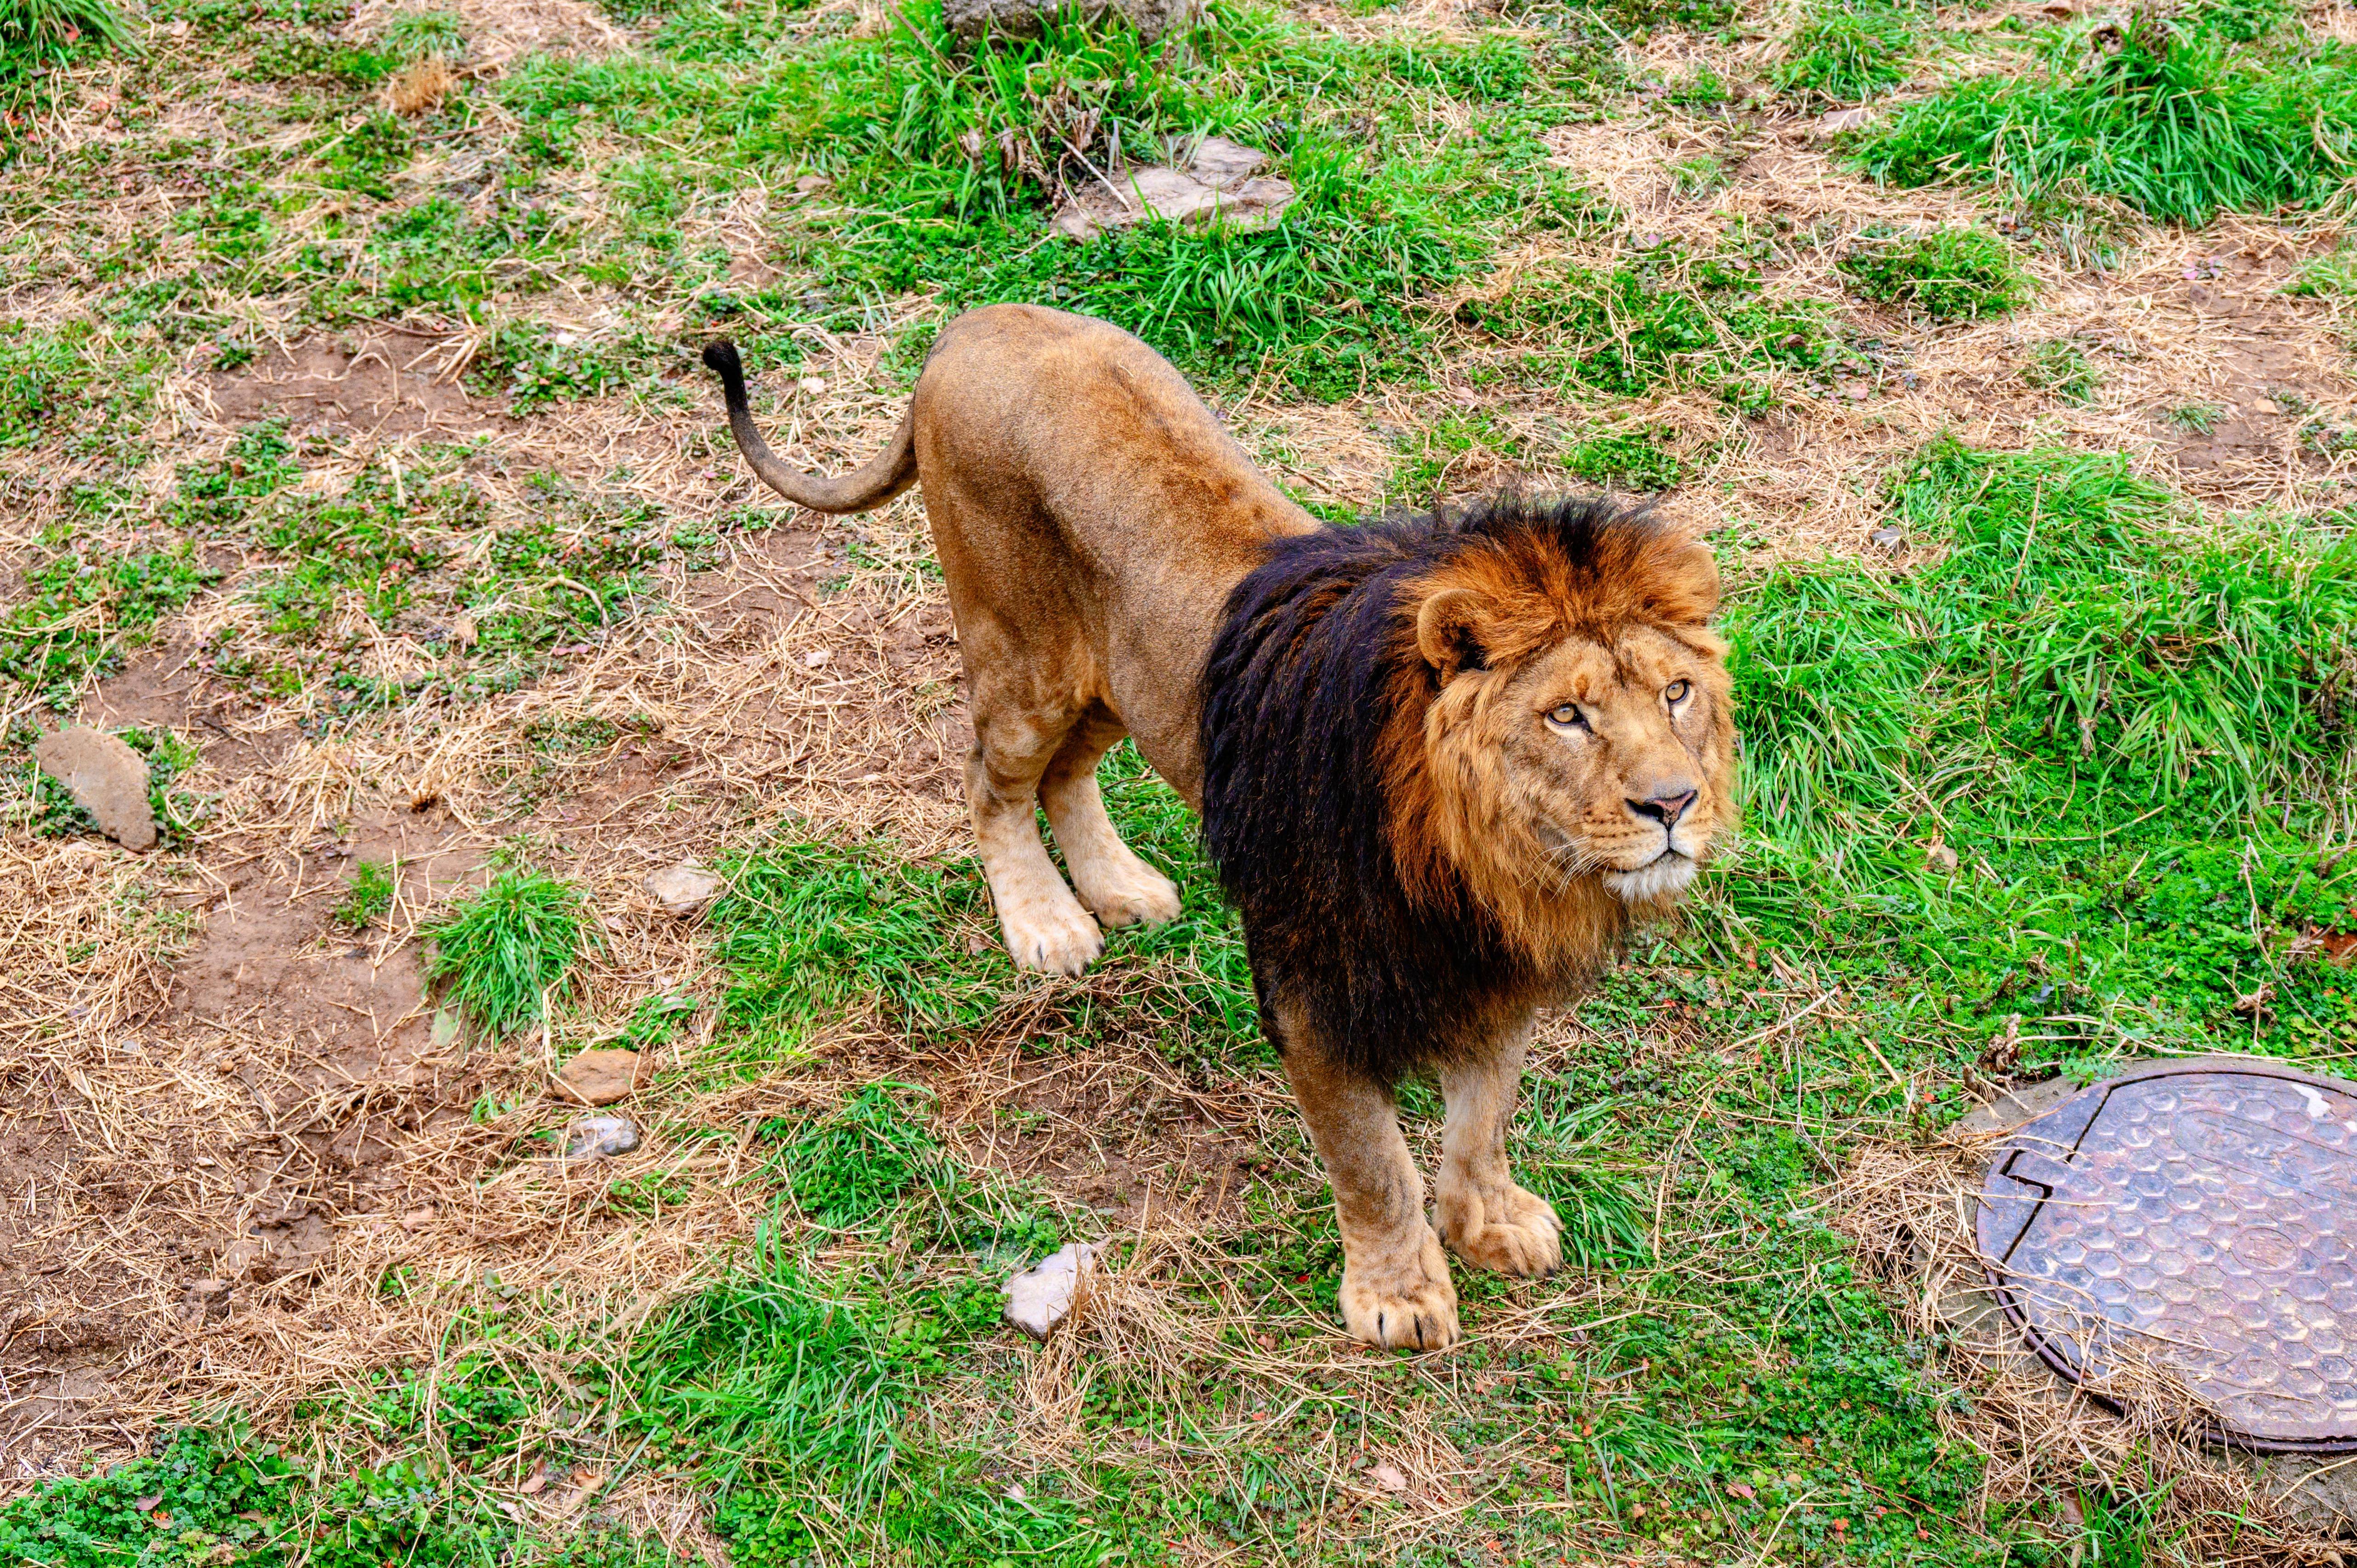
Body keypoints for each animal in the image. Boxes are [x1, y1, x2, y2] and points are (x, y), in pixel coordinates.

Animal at [698, 301, 1734, 1348]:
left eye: (1674, 692)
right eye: (1565, 715)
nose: (1672, 804)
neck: (1476, 861)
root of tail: (975, 321)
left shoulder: (1493, 969)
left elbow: (1481, 1120)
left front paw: (1489, 1223)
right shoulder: (1311, 987)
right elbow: (1373, 1161)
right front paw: (1396, 1292)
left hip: (1127, 685)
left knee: (1065, 775)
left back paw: (1121, 888)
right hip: (1023, 658)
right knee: (989, 781)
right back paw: (1046, 924)